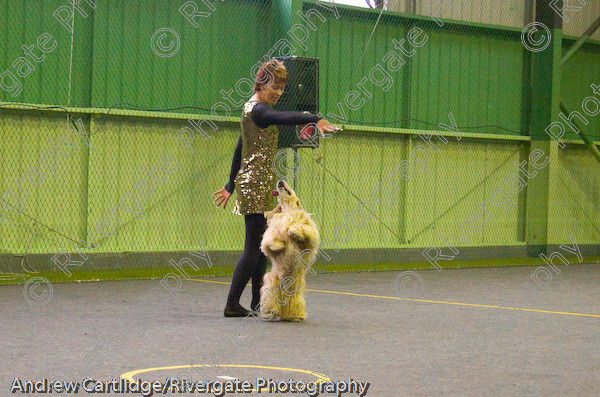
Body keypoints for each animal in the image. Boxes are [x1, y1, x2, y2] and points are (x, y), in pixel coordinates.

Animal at [260, 179, 322, 322]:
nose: (280, 180)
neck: (287, 210)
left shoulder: (309, 237)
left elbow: (305, 230)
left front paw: (294, 232)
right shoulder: (272, 230)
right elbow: (270, 241)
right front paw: (278, 245)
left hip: (295, 289)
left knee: (293, 303)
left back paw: (295, 316)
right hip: (272, 283)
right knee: (271, 299)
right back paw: (270, 312)